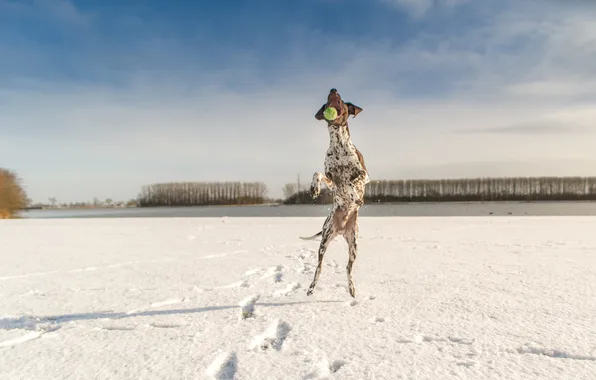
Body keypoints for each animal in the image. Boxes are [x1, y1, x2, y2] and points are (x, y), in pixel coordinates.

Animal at [308, 88, 368, 296]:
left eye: (341, 99)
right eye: (328, 100)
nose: (333, 90)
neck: (339, 144)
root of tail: (341, 230)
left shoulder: (365, 174)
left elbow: (353, 182)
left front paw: (355, 197)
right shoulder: (331, 179)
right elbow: (318, 173)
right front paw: (315, 189)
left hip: (354, 245)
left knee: (348, 268)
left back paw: (351, 289)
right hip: (324, 240)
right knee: (319, 267)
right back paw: (311, 288)